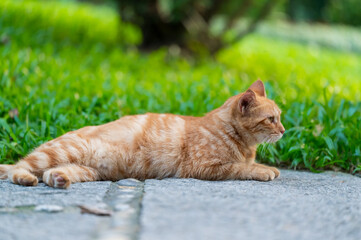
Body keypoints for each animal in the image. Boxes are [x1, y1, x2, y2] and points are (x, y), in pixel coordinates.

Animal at [0, 79, 284, 188]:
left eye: (280, 116)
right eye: (271, 119)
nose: (283, 130)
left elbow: (245, 164)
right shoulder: (204, 167)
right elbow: (241, 167)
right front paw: (263, 170)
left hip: (86, 170)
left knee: (50, 173)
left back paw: (59, 179)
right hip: (62, 151)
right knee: (19, 167)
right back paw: (25, 178)